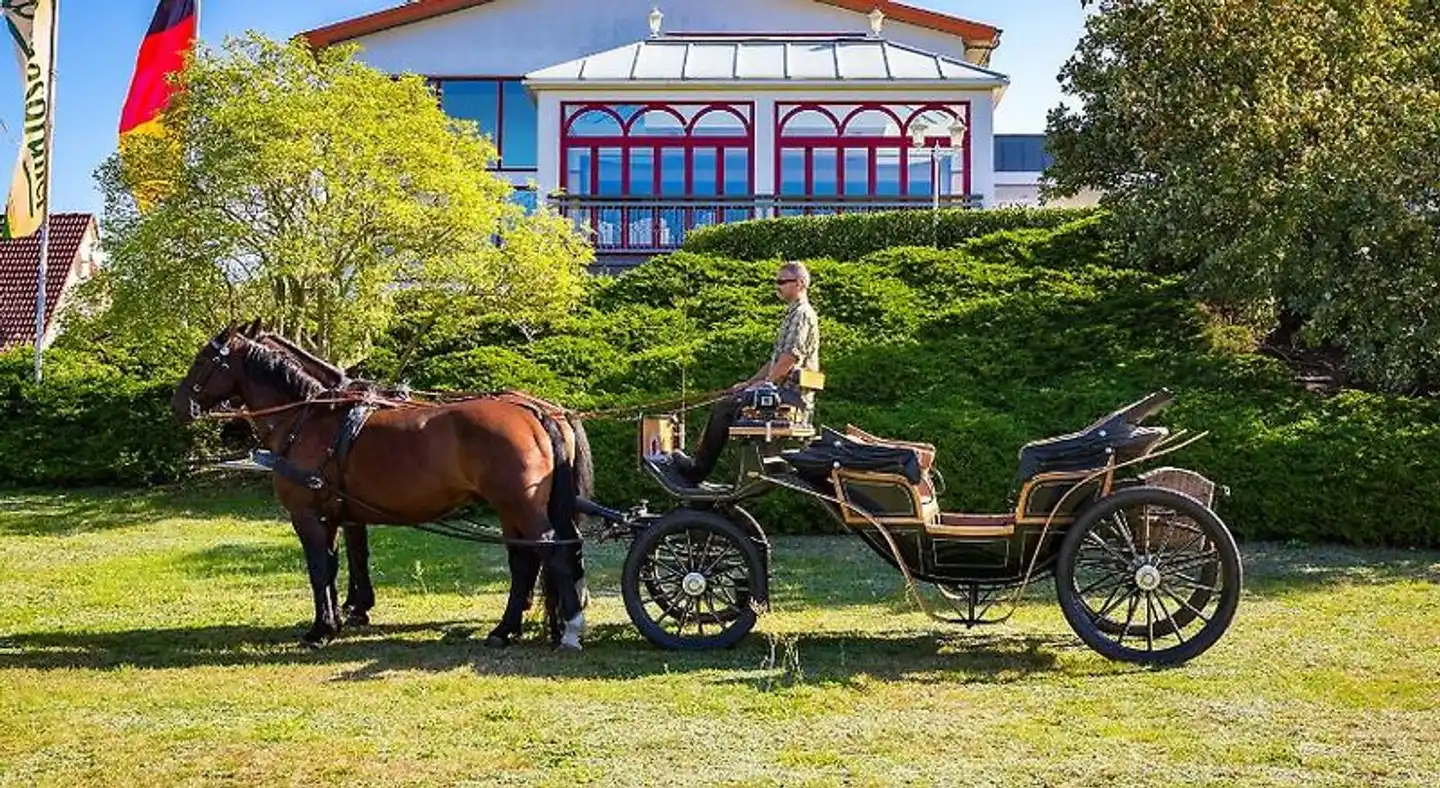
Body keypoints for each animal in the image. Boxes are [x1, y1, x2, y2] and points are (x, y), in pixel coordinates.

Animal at [172, 324, 590, 651]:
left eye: (202, 361)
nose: (177, 405)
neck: (307, 416)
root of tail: (536, 412)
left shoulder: (307, 514)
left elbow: (319, 567)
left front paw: (322, 628)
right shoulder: (336, 513)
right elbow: (341, 561)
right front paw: (343, 616)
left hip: (520, 504)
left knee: (551, 550)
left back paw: (568, 626)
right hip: (512, 507)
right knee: (527, 559)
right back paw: (507, 629)